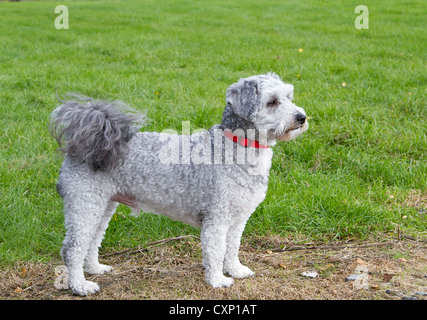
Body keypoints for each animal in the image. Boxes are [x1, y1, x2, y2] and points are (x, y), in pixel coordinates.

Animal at [50, 72, 310, 296]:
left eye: (289, 97)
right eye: (272, 102)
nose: (302, 117)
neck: (234, 147)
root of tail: (89, 141)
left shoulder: (238, 218)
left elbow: (232, 248)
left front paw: (236, 270)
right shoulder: (216, 218)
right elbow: (216, 252)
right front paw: (218, 280)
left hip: (102, 205)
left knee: (93, 240)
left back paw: (94, 269)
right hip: (85, 204)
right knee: (72, 249)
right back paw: (80, 286)